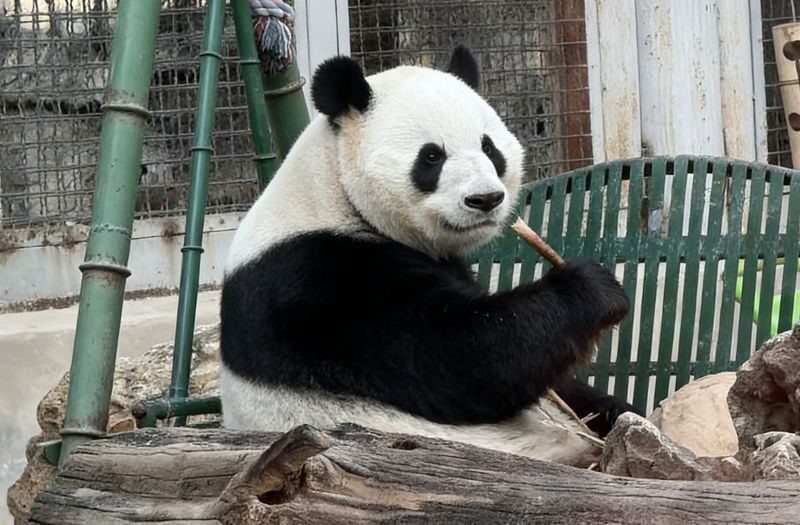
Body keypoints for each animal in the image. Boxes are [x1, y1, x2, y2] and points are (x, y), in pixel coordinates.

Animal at [219, 45, 640, 466]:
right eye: (432, 157)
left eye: (489, 147)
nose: (485, 199)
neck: (334, 191)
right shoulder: (317, 282)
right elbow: (459, 358)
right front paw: (593, 288)